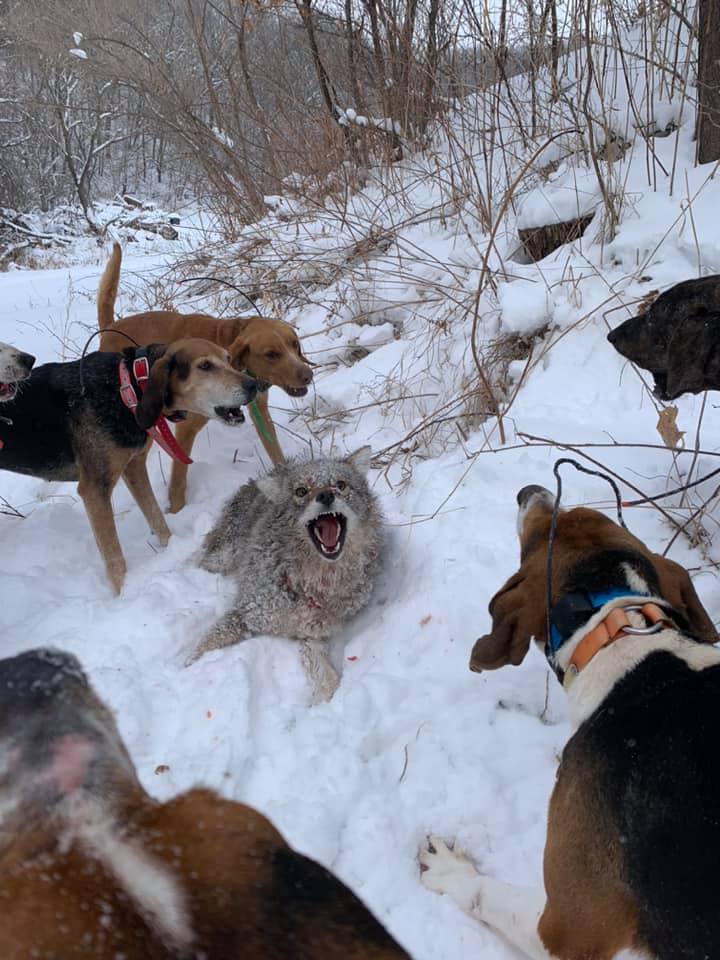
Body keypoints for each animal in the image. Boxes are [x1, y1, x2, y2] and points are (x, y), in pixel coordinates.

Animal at [192, 447, 383, 701]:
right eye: (301, 491)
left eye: (340, 485)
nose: (326, 496)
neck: (312, 576)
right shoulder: (244, 614)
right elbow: (200, 648)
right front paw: (180, 669)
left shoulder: (312, 633)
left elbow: (327, 679)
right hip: (222, 558)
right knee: (198, 560)